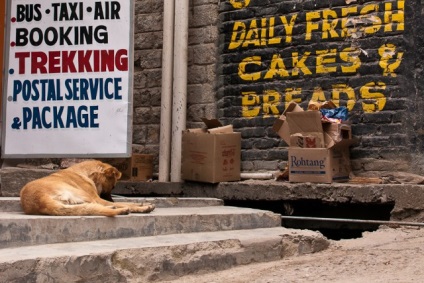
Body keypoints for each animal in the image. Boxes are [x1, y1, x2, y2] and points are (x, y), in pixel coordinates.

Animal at [19, 160, 155, 217]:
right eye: (113, 186)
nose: (111, 200)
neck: (85, 173)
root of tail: (41, 201)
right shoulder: (97, 197)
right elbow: (126, 203)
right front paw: (143, 206)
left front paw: (143, 203)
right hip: (84, 196)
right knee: (99, 205)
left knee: (88, 207)